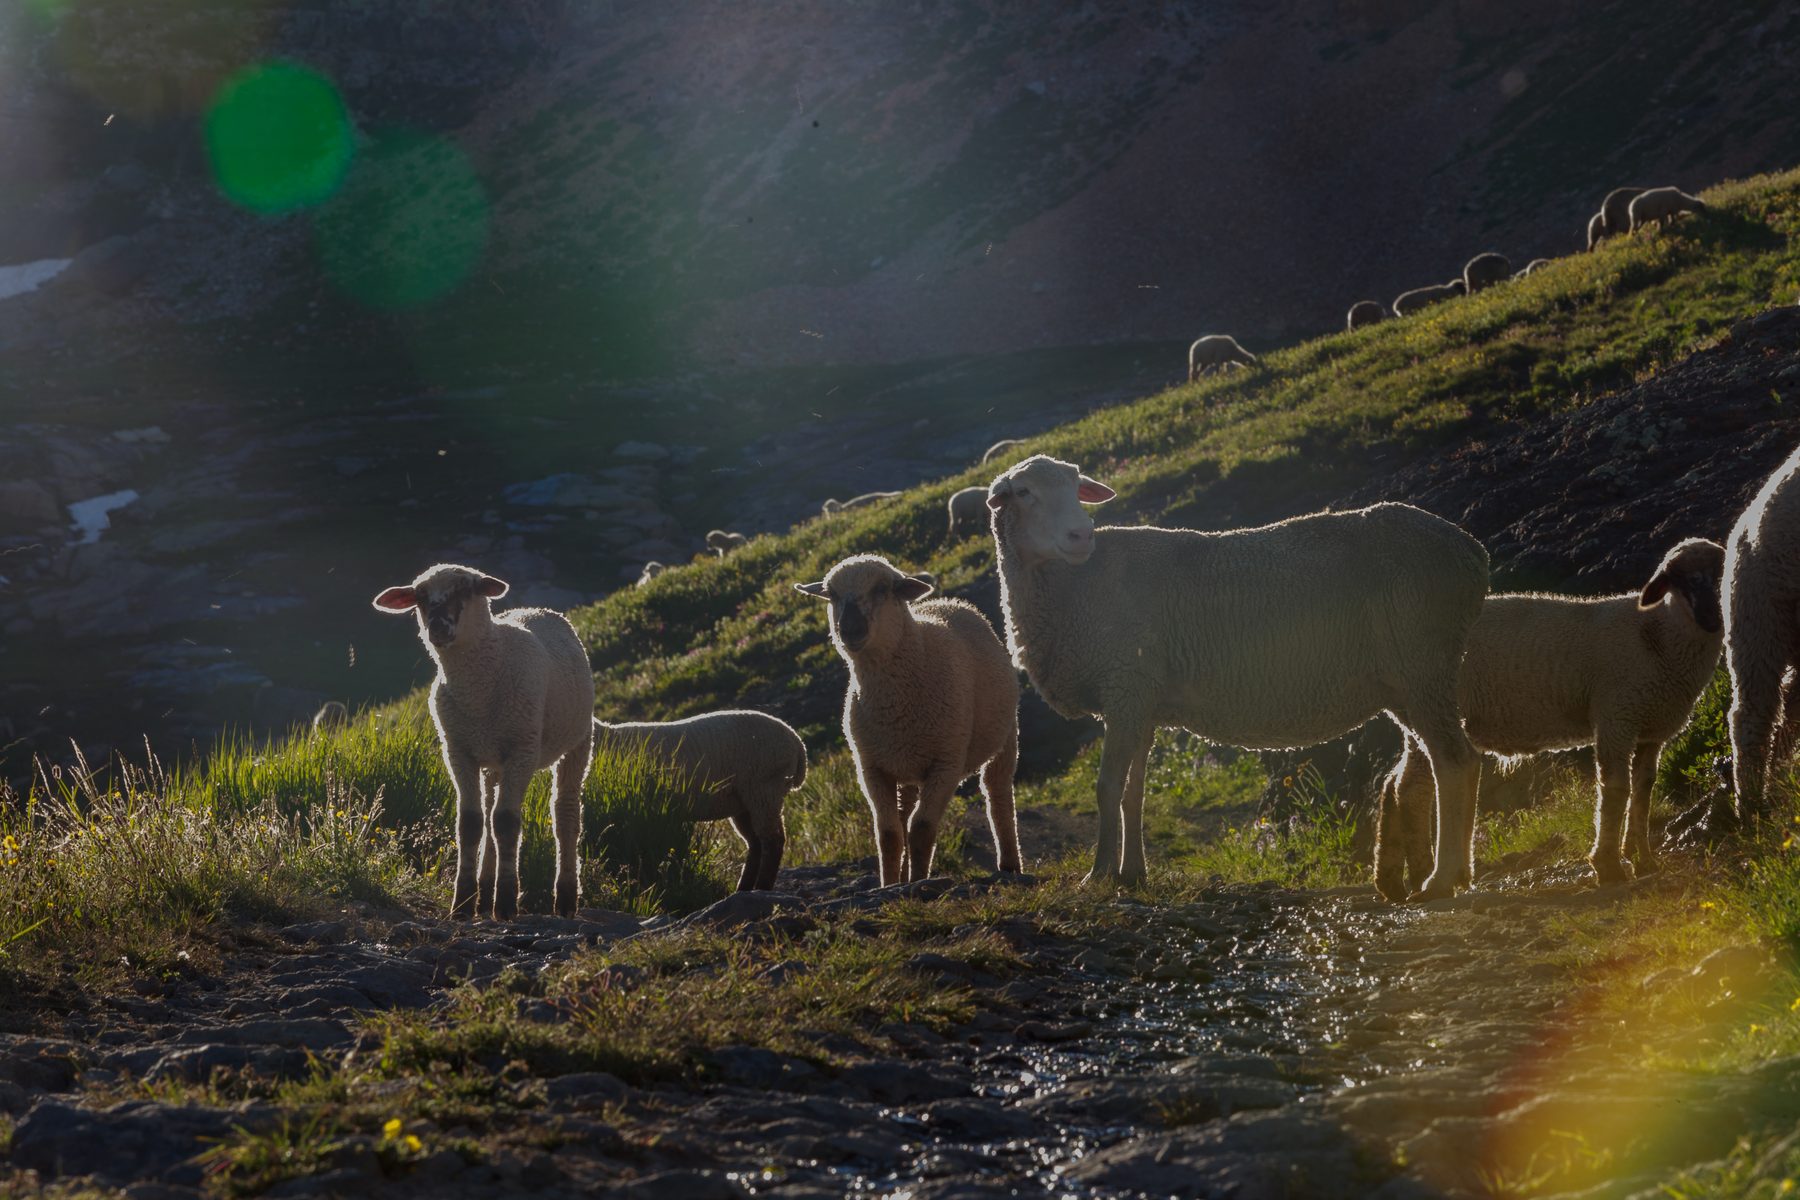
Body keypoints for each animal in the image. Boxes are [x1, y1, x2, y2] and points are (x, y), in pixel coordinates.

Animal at [372, 563, 595, 920]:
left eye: (467, 589)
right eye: (420, 596)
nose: (438, 626)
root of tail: (539, 610)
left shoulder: (522, 749)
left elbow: (506, 822)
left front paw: (505, 903)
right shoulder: (458, 750)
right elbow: (472, 822)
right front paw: (463, 903)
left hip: (577, 741)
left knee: (565, 815)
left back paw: (565, 899)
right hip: (492, 758)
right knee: (490, 812)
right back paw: (484, 892)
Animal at [593, 710, 806, 891]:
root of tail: (797, 743)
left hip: (765, 788)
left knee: (773, 839)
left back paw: (762, 886)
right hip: (745, 802)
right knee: (755, 843)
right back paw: (743, 887)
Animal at [795, 555, 1020, 885]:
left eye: (882, 589)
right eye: (832, 594)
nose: (849, 629)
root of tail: (948, 602)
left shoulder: (946, 764)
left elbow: (922, 828)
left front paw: (919, 881)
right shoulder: (872, 768)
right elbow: (889, 833)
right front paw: (889, 884)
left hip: (1005, 737)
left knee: (998, 796)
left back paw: (1010, 865)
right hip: (905, 762)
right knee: (903, 814)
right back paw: (902, 875)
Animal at [987, 454, 1488, 895]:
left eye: (1077, 488)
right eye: (1024, 492)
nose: (1080, 535)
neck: (1075, 587)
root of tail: (1470, 548)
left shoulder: (1124, 685)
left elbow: (1107, 788)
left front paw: (1100, 875)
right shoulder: (1142, 700)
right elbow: (1135, 792)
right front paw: (1134, 873)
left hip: (1423, 662)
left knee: (1455, 760)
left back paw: (1442, 879)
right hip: (1413, 679)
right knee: (1443, 761)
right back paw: (1455, 874)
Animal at [1373, 538, 1726, 897]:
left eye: (1723, 574)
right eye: (1677, 578)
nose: (1712, 617)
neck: (1657, 634)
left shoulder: (1651, 730)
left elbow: (1643, 792)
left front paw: (1643, 861)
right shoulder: (1616, 717)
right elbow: (1616, 789)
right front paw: (1609, 866)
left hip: (1420, 716)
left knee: (1399, 783)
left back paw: (1394, 878)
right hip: (1431, 706)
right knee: (1414, 789)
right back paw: (1423, 875)